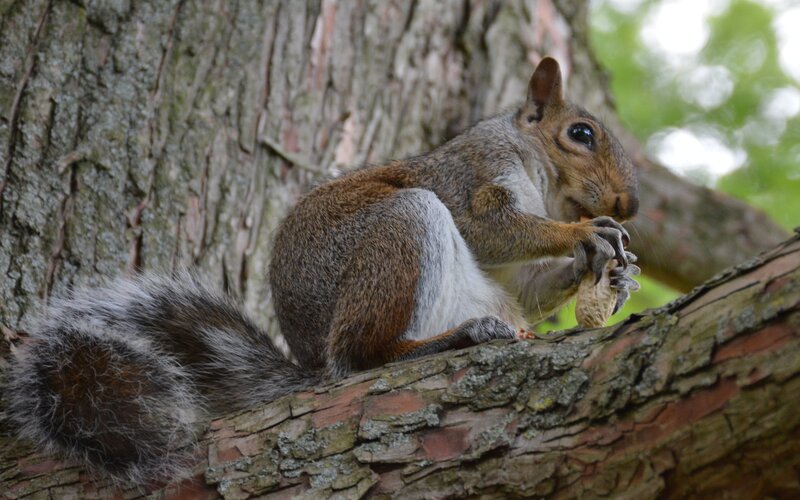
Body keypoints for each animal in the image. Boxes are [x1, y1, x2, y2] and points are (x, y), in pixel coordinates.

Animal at [6, 57, 640, 485]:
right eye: (581, 134)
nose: (629, 204)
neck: (540, 179)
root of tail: (311, 364)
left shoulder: (508, 278)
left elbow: (527, 287)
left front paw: (613, 276)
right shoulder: (473, 176)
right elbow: (488, 227)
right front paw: (584, 236)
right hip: (403, 229)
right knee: (361, 356)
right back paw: (453, 339)